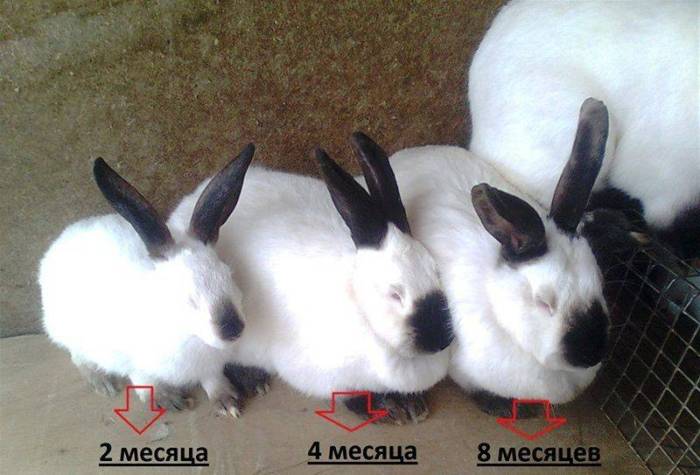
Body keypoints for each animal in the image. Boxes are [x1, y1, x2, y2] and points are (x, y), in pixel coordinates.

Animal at [39, 144, 256, 417]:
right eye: (184, 295)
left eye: (228, 274)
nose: (232, 329)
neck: (190, 337)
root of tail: (66, 234)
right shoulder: (131, 360)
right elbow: (143, 379)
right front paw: (168, 399)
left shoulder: (212, 368)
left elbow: (213, 381)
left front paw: (227, 403)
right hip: (69, 333)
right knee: (78, 357)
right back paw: (101, 383)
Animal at [168, 133, 453, 424]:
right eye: (395, 294)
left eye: (436, 272)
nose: (440, 340)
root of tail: (186, 206)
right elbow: (350, 396)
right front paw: (391, 408)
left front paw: (414, 404)